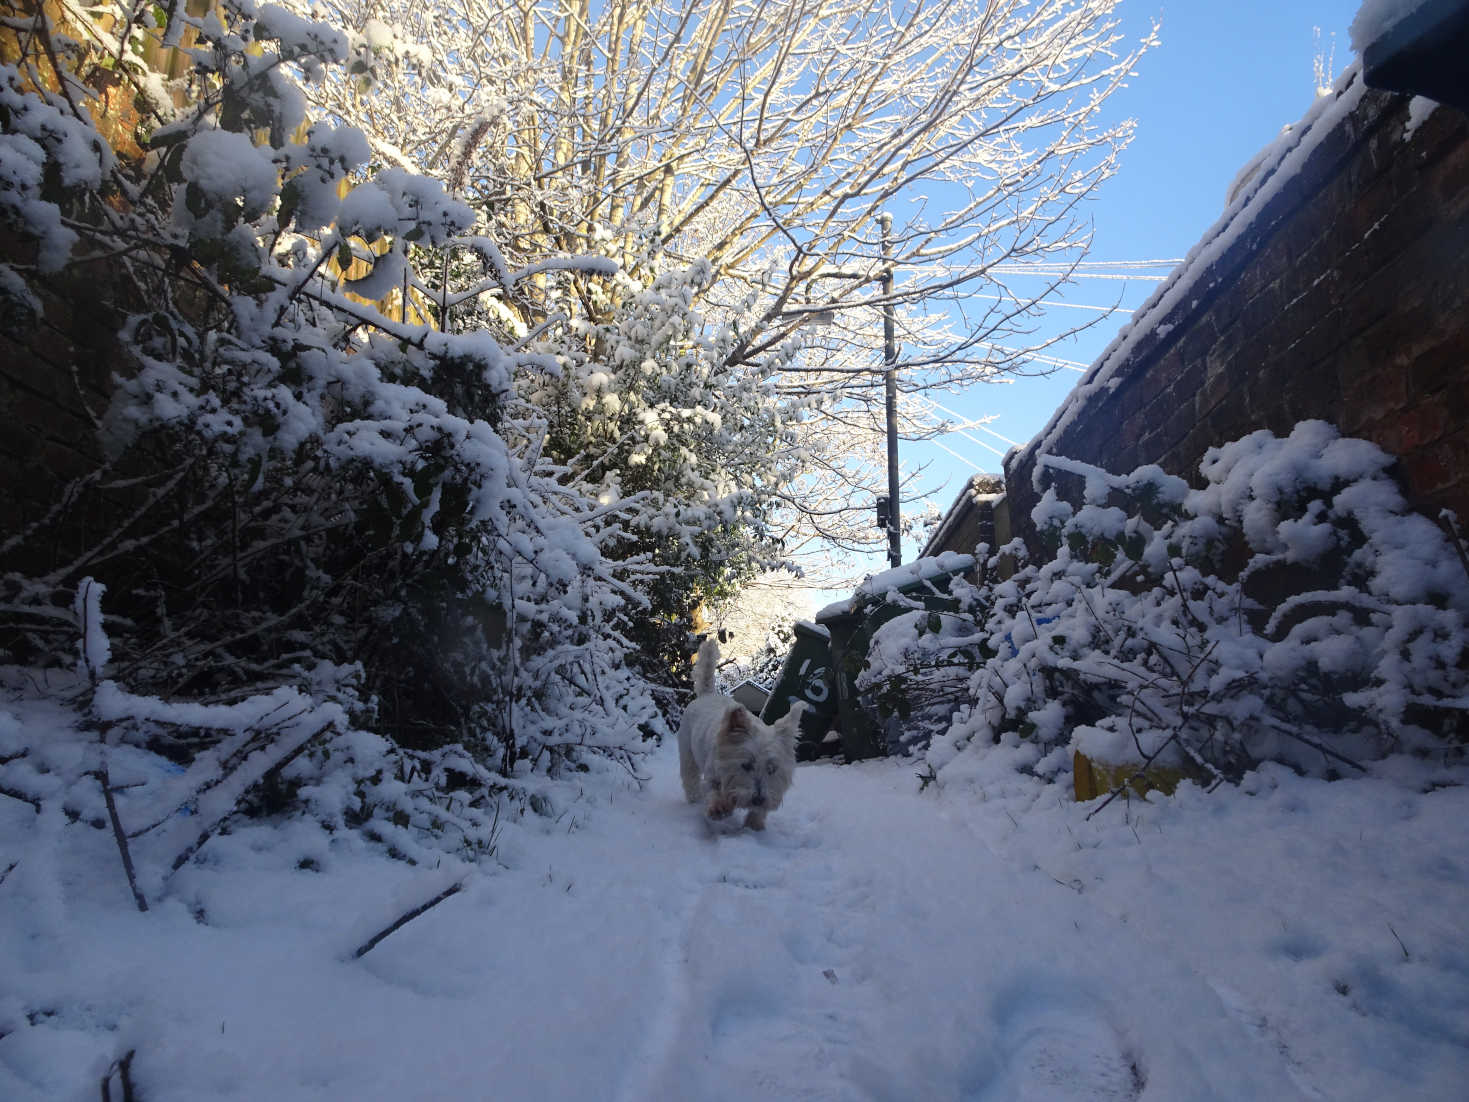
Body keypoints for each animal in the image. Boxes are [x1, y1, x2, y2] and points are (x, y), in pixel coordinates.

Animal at [678, 634, 805, 834]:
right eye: (745, 765)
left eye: (772, 769)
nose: (758, 799)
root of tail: (707, 694)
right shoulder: (713, 773)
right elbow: (713, 790)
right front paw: (719, 808)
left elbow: (758, 811)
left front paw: (754, 826)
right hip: (687, 751)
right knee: (690, 777)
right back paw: (694, 800)